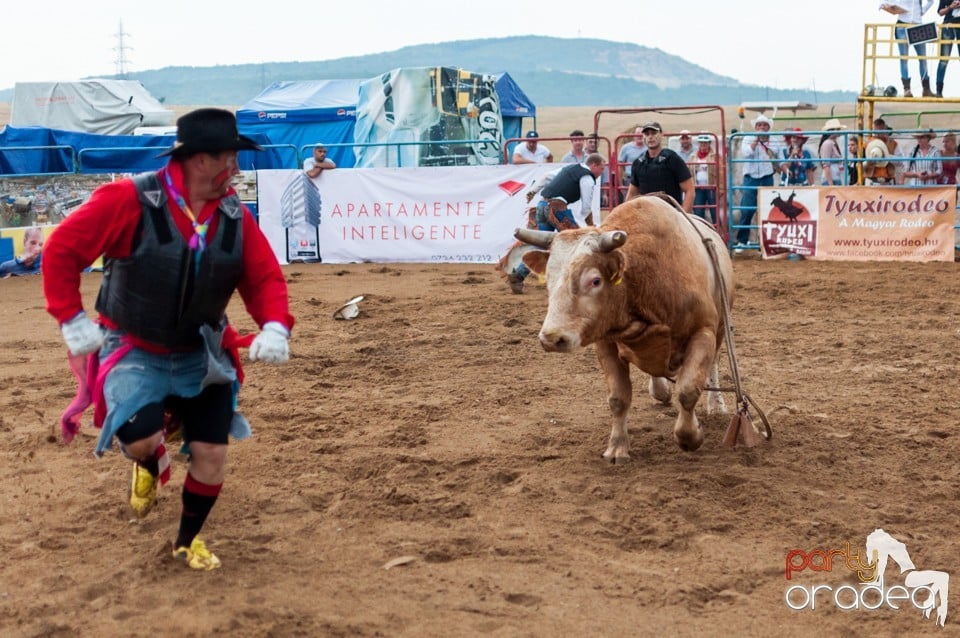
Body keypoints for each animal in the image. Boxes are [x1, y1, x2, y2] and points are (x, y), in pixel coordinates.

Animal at [516, 192, 736, 462]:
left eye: (595, 280)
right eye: (549, 278)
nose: (551, 338)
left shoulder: (703, 332)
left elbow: (687, 391)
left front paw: (690, 437)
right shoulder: (606, 342)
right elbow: (618, 398)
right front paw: (617, 447)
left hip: (720, 328)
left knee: (713, 363)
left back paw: (716, 405)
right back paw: (660, 389)